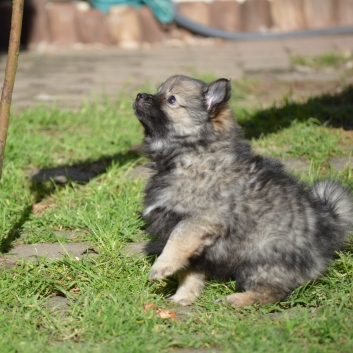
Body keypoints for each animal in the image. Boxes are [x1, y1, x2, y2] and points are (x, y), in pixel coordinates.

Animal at [130, 74, 352, 306]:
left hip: (261, 258)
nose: (140, 95)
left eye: (171, 100)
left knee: (271, 292)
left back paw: (235, 300)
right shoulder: (197, 242)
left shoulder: (200, 220)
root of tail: (326, 233)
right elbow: (189, 271)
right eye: (158, 91)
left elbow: (176, 241)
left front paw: (161, 267)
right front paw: (183, 297)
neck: (192, 154)